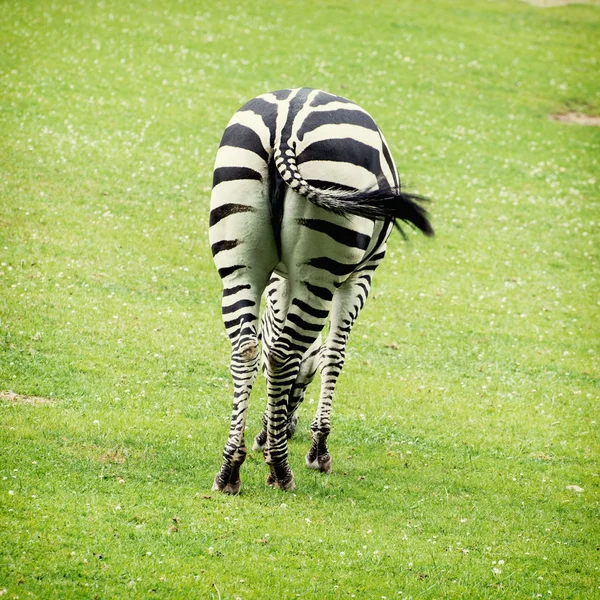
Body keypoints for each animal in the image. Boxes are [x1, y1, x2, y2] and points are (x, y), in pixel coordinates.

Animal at [209, 88, 434, 492]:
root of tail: (288, 121)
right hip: (323, 272)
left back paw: (230, 469)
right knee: (283, 355)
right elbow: (334, 355)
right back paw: (281, 470)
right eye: (307, 379)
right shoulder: (361, 277)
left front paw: (266, 435)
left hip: (239, 264)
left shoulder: (283, 280)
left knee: (247, 350)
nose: (288, 429)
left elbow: (269, 344)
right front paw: (318, 450)